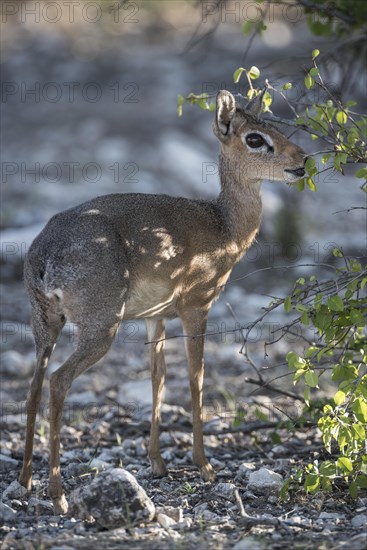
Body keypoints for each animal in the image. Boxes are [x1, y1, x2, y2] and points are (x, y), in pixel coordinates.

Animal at [20, 88, 308, 516]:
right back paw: (58, 496)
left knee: (34, 386)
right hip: (99, 328)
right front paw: (204, 465)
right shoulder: (196, 307)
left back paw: (25, 481)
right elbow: (195, 379)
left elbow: (158, 379)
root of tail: (45, 255)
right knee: (58, 381)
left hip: (45, 323)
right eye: (255, 138)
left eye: (275, 126)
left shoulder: (155, 318)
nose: (301, 161)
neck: (223, 226)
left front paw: (156, 462)